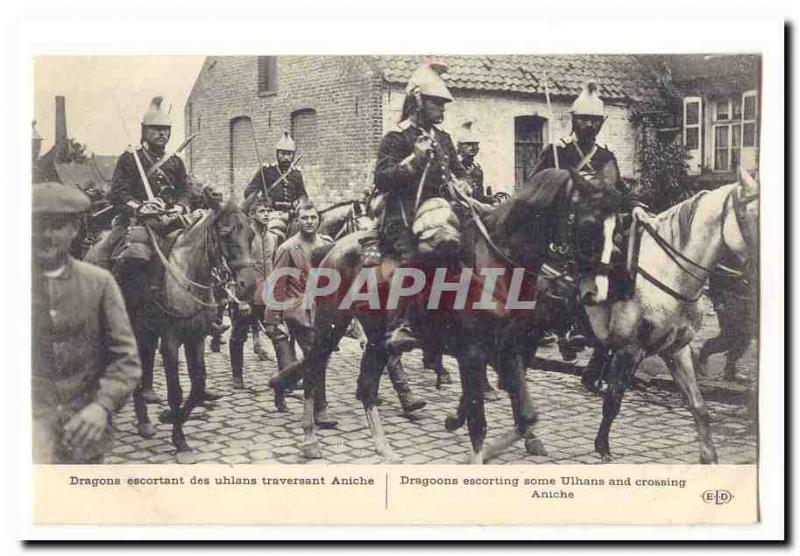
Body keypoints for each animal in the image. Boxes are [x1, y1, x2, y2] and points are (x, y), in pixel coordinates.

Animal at [85, 189, 253, 462]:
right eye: (225, 234)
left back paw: (144, 422)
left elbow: (198, 384)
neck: (186, 276)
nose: (248, 283)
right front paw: (180, 440)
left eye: (251, 234)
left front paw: (170, 416)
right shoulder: (170, 342)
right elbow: (176, 390)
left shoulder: (196, 337)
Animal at [278, 167, 620, 462]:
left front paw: (484, 443)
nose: (598, 291)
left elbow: (525, 416)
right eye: (589, 224)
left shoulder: (508, 348)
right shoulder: (473, 352)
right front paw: (474, 450)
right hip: (331, 322)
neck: (498, 265)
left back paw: (384, 449)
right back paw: (309, 438)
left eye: (617, 229)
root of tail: (331, 247)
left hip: (376, 335)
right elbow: (479, 423)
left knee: (366, 388)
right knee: (313, 370)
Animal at [580, 169, 756, 464]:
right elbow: (613, 401)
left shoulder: (676, 349)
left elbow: (699, 404)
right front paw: (603, 448)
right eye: (749, 216)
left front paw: (708, 456)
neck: (669, 274)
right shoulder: (629, 350)